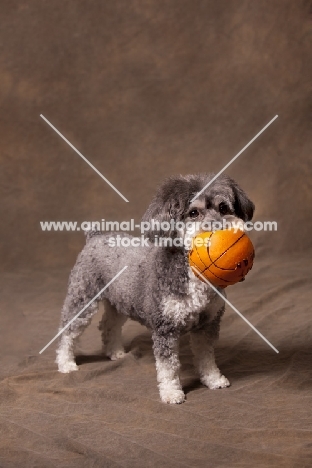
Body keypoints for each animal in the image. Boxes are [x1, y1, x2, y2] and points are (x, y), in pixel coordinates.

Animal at [56, 174, 255, 404]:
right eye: (193, 213)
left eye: (223, 207)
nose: (219, 227)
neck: (192, 273)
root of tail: (95, 236)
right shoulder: (165, 328)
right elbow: (168, 366)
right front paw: (171, 392)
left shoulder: (207, 324)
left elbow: (206, 356)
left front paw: (213, 379)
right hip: (83, 297)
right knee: (68, 331)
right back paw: (66, 363)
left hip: (120, 302)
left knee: (109, 325)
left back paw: (115, 352)